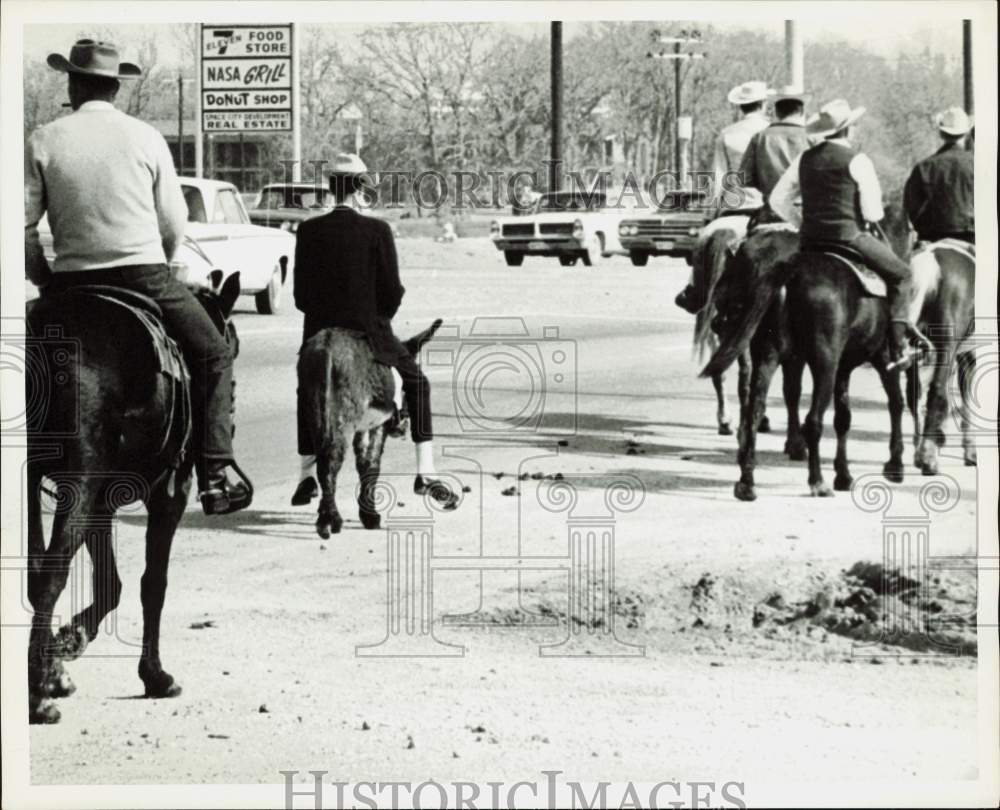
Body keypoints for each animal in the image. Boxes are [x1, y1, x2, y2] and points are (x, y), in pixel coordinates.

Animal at [24, 270, 240, 720]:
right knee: (52, 572)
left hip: (39, 479)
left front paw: (68, 643)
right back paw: (37, 695)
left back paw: (47, 673)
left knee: (37, 571)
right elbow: (152, 584)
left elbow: (110, 581)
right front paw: (154, 676)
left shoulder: (102, 501)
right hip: (80, 479)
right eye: (231, 347)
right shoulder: (170, 493)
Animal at [298, 316, 444, 536]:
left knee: (322, 461)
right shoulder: (377, 425)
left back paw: (322, 513)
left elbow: (364, 465)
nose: (401, 425)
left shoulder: (363, 427)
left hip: (313, 412)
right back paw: (331, 520)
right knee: (330, 463)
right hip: (343, 420)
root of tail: (326, 348)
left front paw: (366, 513)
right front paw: (371, 516)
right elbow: (372, 465)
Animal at [704, 210, 916, 498]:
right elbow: (895, 404)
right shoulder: (883, 358)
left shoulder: (842, 367)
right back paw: (817, 481)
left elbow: (843, 417)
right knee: (813, 420)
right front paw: (895, 465)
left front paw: (844, 474)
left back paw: (747, 482)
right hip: (824, 362)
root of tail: (789, 273)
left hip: (768, 355)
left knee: (754, 412)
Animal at [908, 238, 976, 474]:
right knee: (936, 392)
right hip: (946, 347)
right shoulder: (967, 354)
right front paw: (970, 453)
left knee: (914, 394)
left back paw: (920, 453)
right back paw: (928, 459)